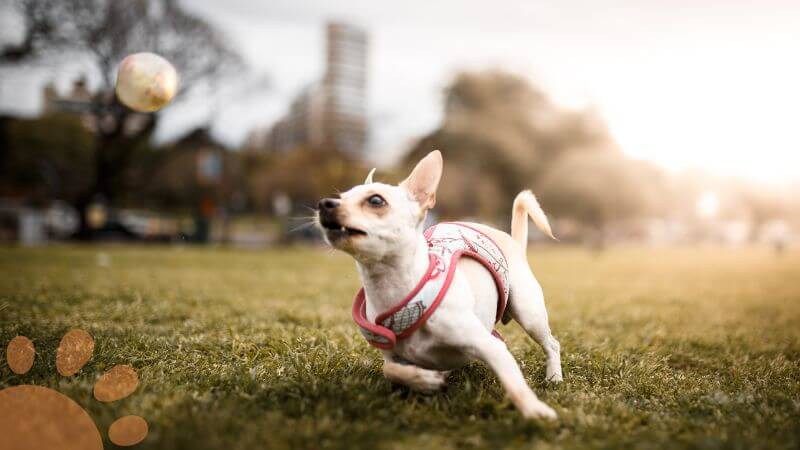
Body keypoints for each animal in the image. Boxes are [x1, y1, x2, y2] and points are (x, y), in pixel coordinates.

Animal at [318, 150, 564, 418]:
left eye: (375, 201)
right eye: (341, 196)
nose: (325, 203)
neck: (397, 290)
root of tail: (513, 242)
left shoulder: (489, 347)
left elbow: (515, 385)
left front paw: (535, 411)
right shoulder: (393, 357)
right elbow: (391, 370)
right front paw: (424, 380)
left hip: (528, 314)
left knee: (552, 344)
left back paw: (554, 377)